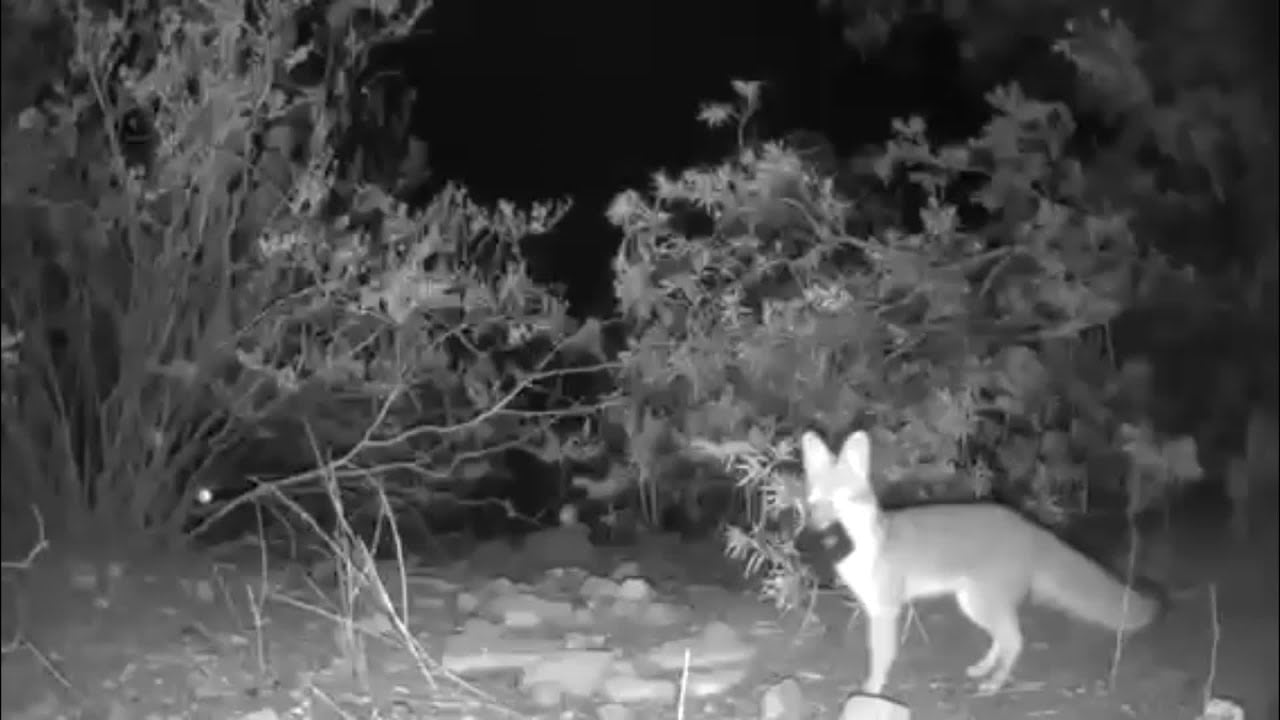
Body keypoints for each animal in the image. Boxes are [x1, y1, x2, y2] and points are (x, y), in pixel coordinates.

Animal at [799, 430, 1162, 696]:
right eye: (814, 502)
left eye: (841, 500)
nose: (819, 531)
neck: (868, 548)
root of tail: (1028, 524)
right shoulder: (874, 609)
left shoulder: (886, 610)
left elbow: (881, 657)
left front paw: (872, 688)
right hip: (975, 604)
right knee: (1005, 639)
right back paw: (985, 669)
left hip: (982, 603)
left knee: (1015, 641)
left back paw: (995, 682)